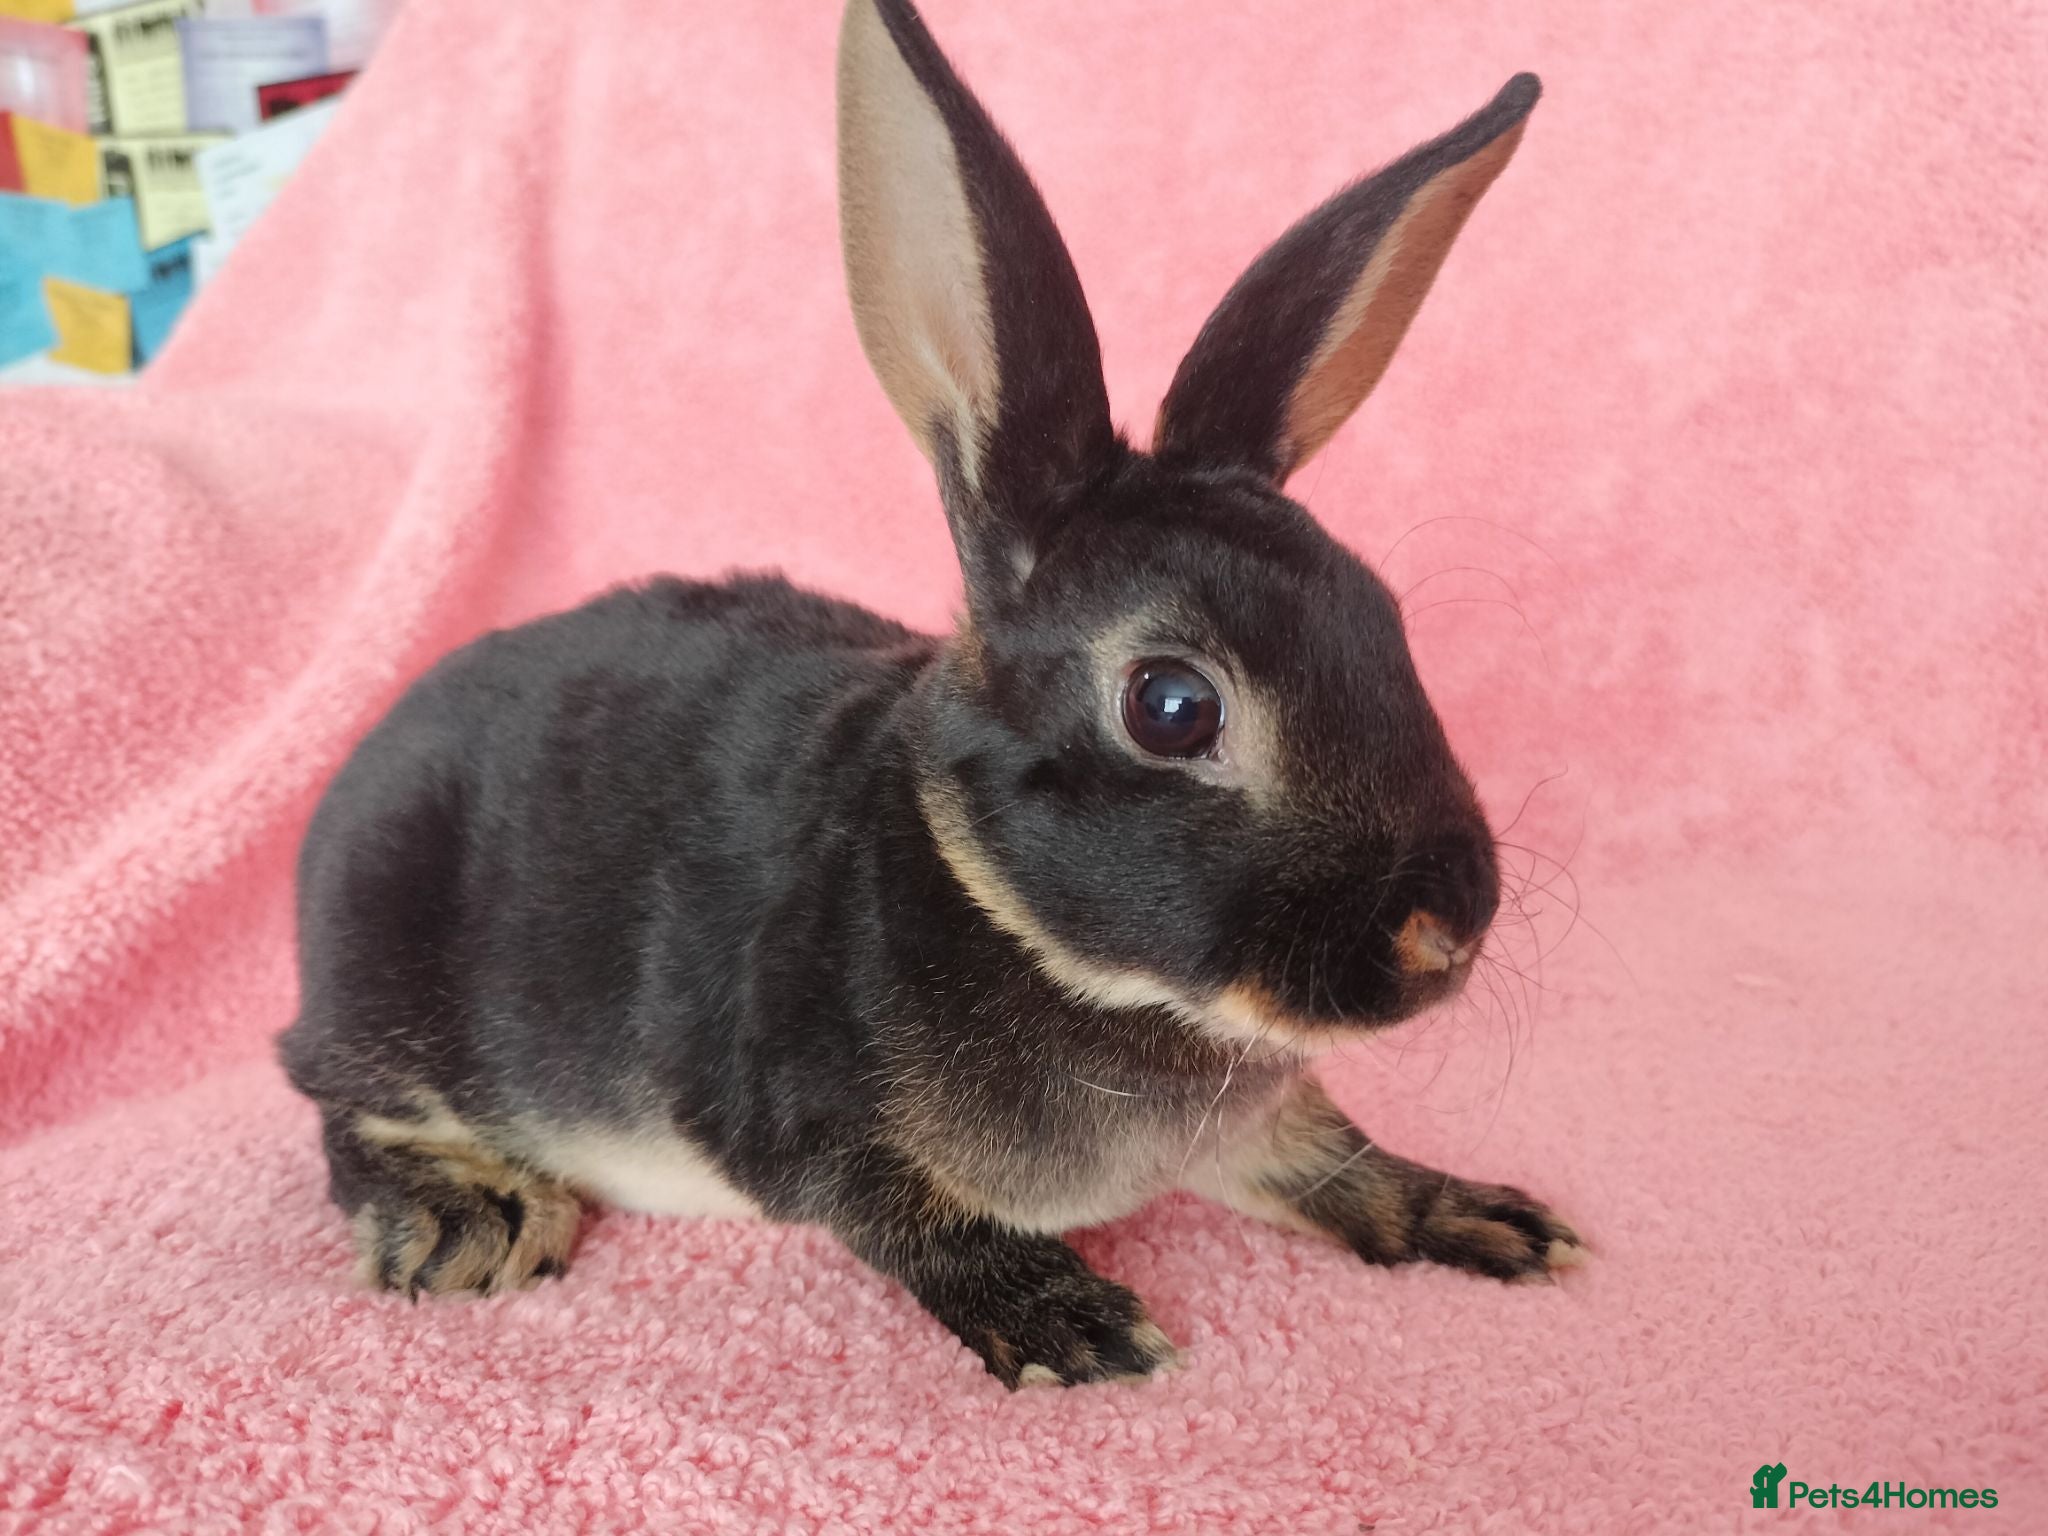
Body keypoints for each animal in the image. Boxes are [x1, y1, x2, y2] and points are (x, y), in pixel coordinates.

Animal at [279, 0, 1583, 1390]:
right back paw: (468, 1220)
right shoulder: (799, 1120)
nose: (1446, 929)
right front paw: (1075, 1323)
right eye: (1172, 706)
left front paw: (1486, 1220)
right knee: (336, 1099)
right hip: (392, 997)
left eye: (1382, 615)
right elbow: (911, 1219)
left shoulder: (1257, 1130)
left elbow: (1330, 1161)